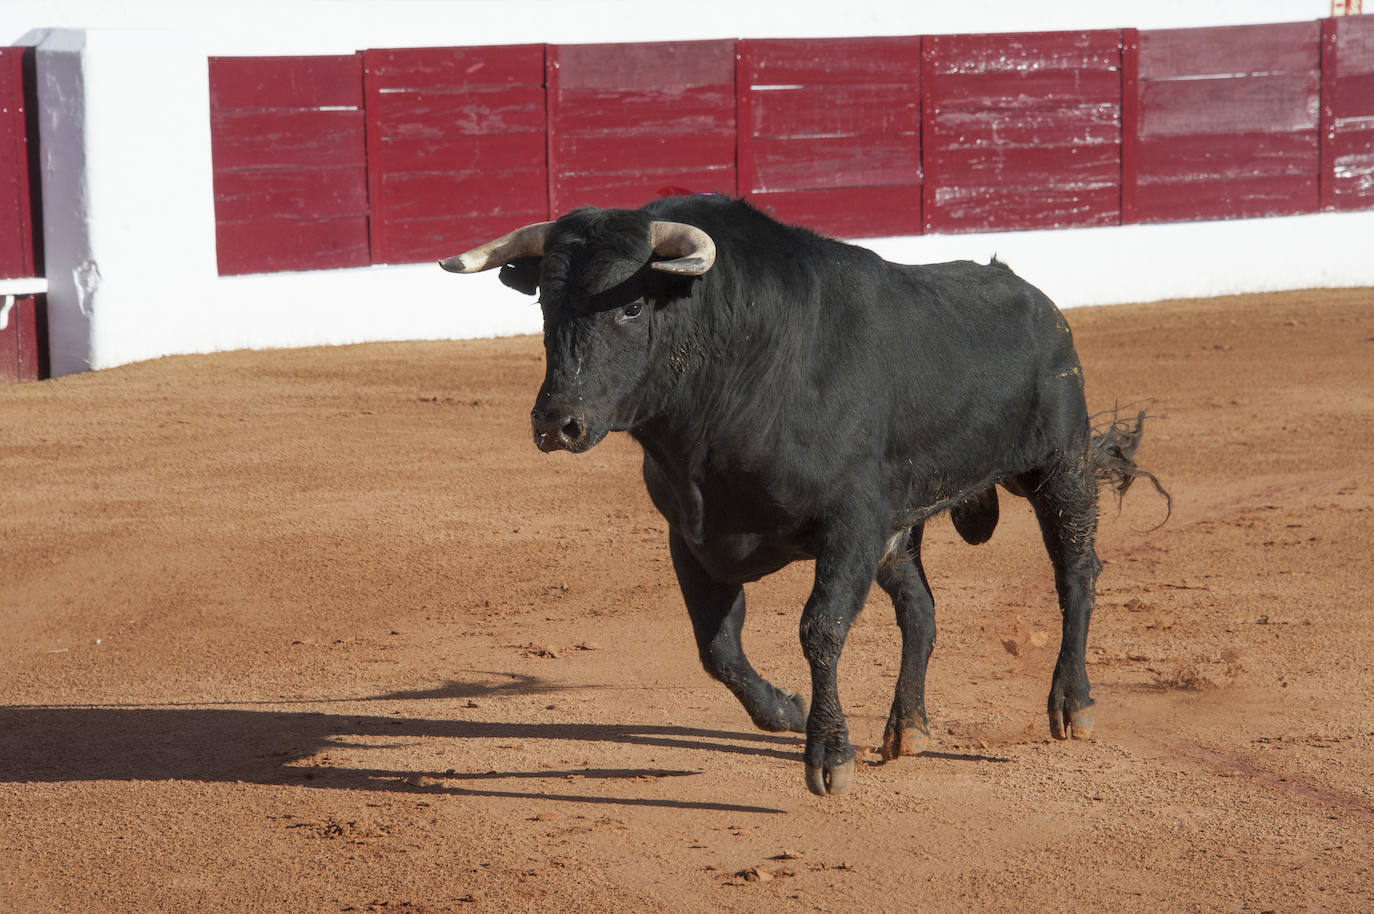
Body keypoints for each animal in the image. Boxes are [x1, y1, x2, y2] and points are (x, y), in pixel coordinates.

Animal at [436, 193, 1159, 791]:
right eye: (545, 303)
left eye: (632, 305)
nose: (557, 423)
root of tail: (1033, 298)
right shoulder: (691, 534)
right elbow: (717, 647)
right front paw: (785, 710)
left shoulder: (852, 523)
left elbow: (821, 628)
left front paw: (828, 755)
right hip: (902, 527)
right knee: (921, 611)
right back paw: (908, 727)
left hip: (1059, 467)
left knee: (1076, 576)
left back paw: (1072, 705)